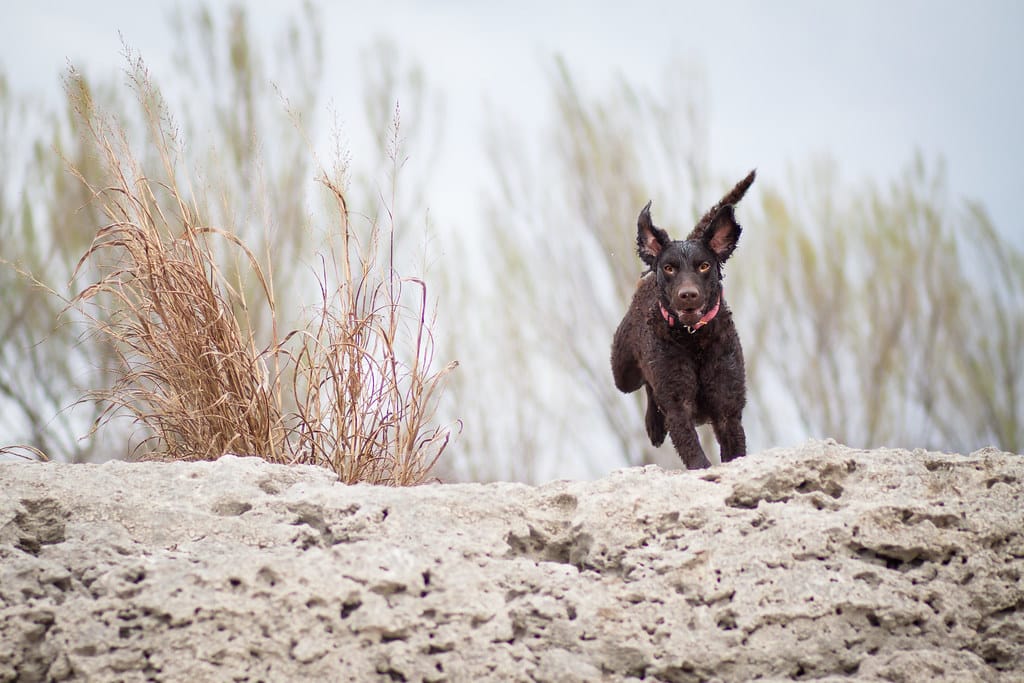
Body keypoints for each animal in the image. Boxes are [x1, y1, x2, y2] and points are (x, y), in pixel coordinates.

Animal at [610, 171, 757, 471]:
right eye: (669, 268)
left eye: (704, 265)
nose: (687, 295)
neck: (694, 340)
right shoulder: (678, 404)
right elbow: (695, 454)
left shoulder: (728, 409)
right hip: (623, 372)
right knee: (646, 385)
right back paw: (654, 426)